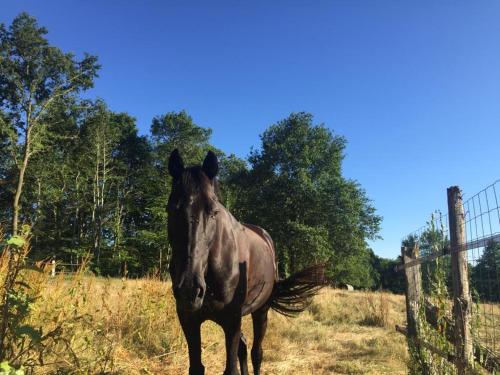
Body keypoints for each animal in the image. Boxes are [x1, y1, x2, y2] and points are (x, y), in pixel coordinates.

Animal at [168, 150, 324, 375]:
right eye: (171, 209)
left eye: (213, 212)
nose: (190, 289)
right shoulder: (189, 320)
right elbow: (197, 367)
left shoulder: (232, 321)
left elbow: (232, 368)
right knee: (243, 348)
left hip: (261, 311)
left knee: (256, 352)